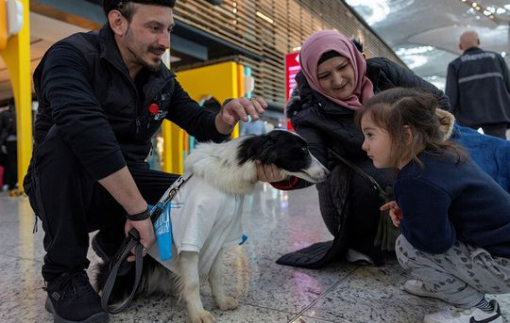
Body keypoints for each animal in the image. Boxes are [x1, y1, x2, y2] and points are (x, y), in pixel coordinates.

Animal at [97, 130, 328, 323]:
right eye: (303, 150)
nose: (327, 172)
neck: (233, 169)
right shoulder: (192, 236)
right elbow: (192, 283)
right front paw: (198, 314)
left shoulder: (220, 235)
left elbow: (216, 275)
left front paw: (222, 302)